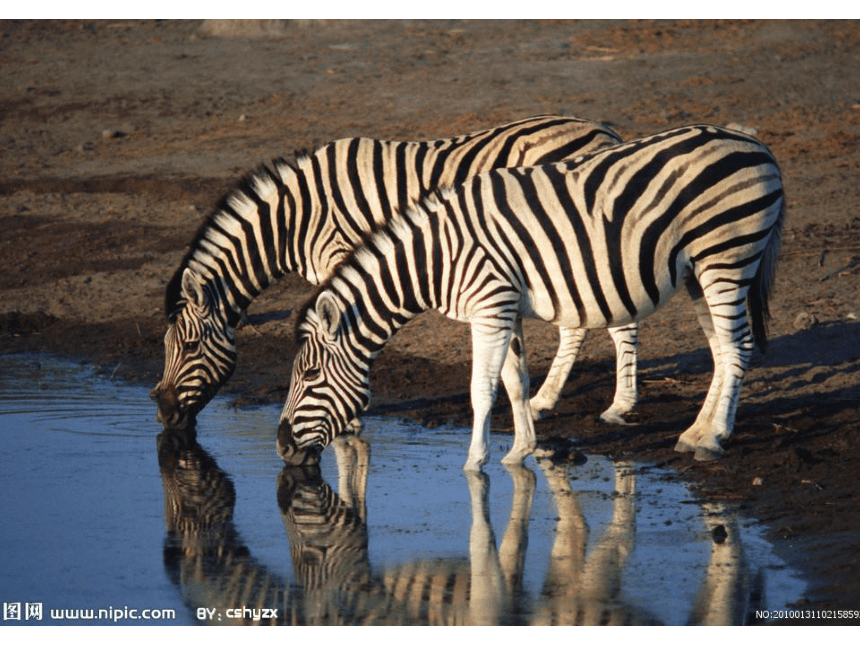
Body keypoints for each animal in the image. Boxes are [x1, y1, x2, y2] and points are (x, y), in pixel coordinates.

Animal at [148, 118, 636, 436]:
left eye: (189, 347)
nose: (164, 414)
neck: (294, 218)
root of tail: (605, 132)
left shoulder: (340, 253)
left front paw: (349, 416)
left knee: (618, 318)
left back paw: (619, 407)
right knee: (578, 321)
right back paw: (544, 401)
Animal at [278, 124, 784, 468]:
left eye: (311, 374)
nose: (281, 445)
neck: (436, 256)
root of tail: (756, 144)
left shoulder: (490, 307)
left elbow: (482, 388)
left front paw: (474, 463)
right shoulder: (503, 308)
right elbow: (515, 380)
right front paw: (521, 450)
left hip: (727, 255)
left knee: (737, 347)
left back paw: (714, 438)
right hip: (700, 270)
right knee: (721, 349)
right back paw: (695, 432)